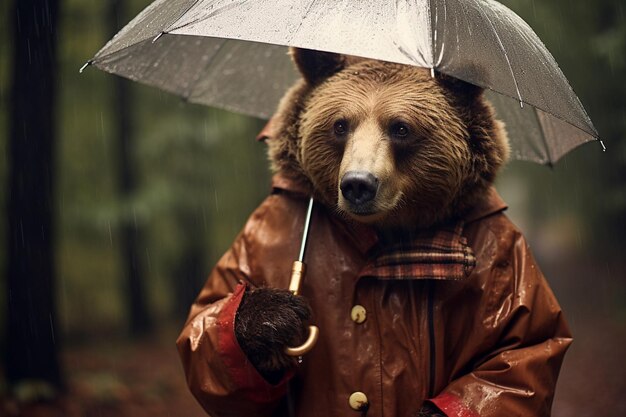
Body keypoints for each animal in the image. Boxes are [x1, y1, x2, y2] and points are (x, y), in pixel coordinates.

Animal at [177, 48, 572, 416]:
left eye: (401, 127)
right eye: (340, 124)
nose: (358, 184)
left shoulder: (497, 245)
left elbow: (516, 349)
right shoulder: (269, 222)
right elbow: (210, 312)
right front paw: (272, 318)